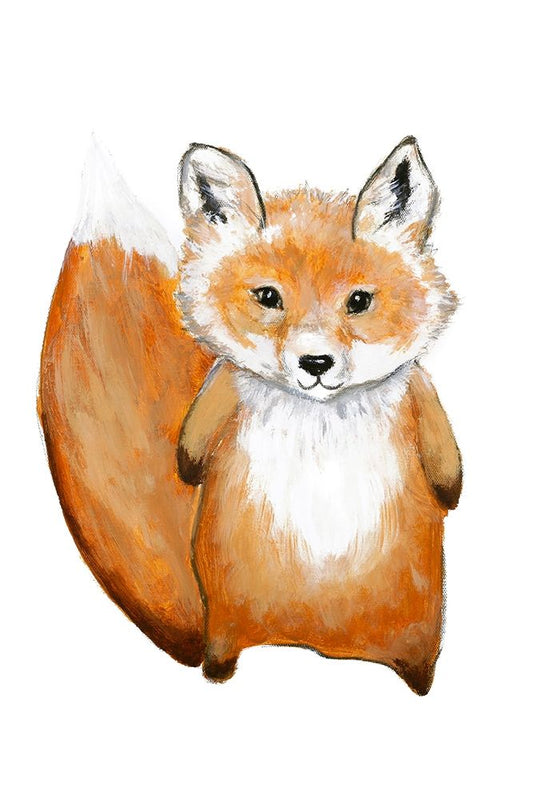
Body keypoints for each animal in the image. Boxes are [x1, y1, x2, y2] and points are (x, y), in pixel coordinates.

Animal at [39, 137, 460, 694]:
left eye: (359, 300)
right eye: (268, 297)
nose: (316, 363)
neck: (318, 424)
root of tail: (316, 639)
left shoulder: (420, 393)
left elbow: (449, 472)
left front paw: (451, 487)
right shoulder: (219, 391)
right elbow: (190, 453)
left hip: (414, 621)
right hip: (232, 615)